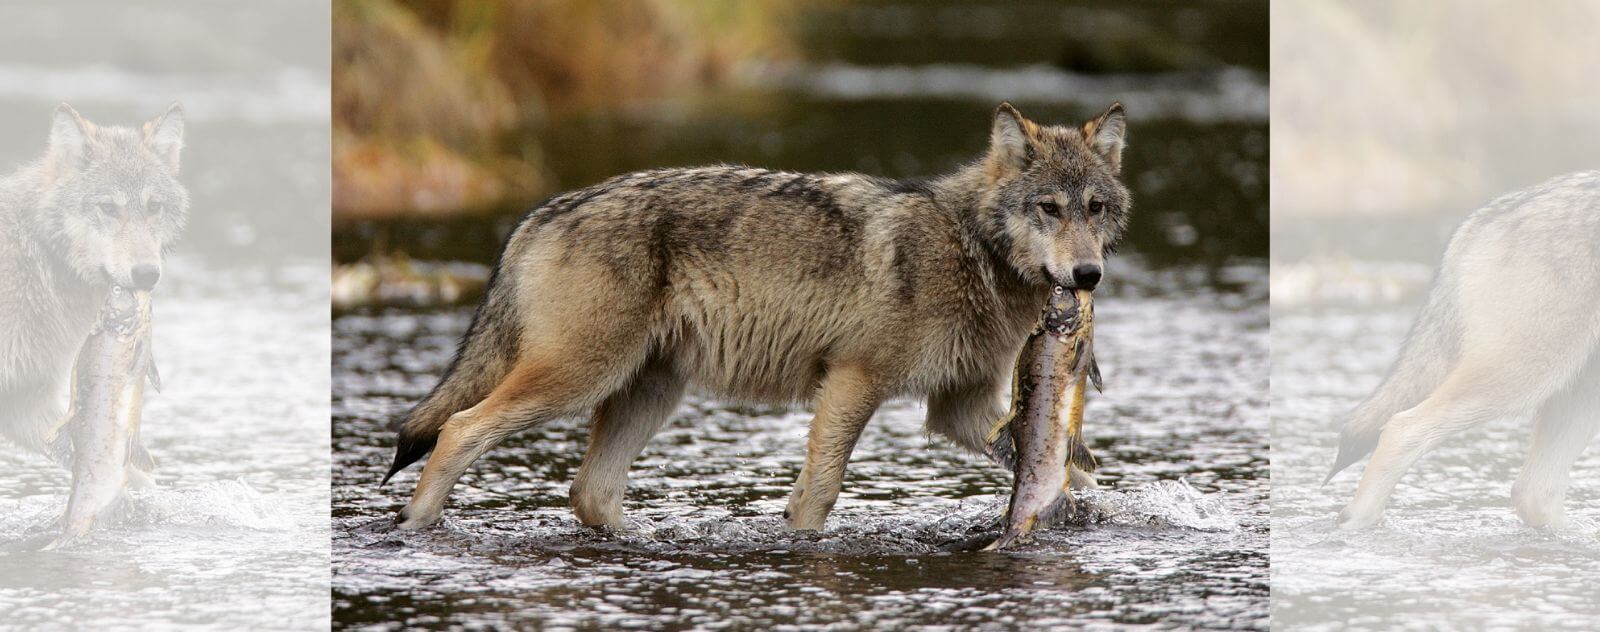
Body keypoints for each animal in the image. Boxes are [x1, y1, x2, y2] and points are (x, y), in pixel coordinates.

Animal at [380, 101, 1132, 531]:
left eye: (1095, 208)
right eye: (1049, 208)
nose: (1087, 275)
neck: (972, 247)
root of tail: (537, 216)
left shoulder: (958, 409)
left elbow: (1073, 469)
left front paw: (1087, 507)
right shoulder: (853, 382)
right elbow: (819, 493)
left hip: (649, 393)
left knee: (589, 492)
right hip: (577, 380)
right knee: (458, 428)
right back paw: (415, 529)